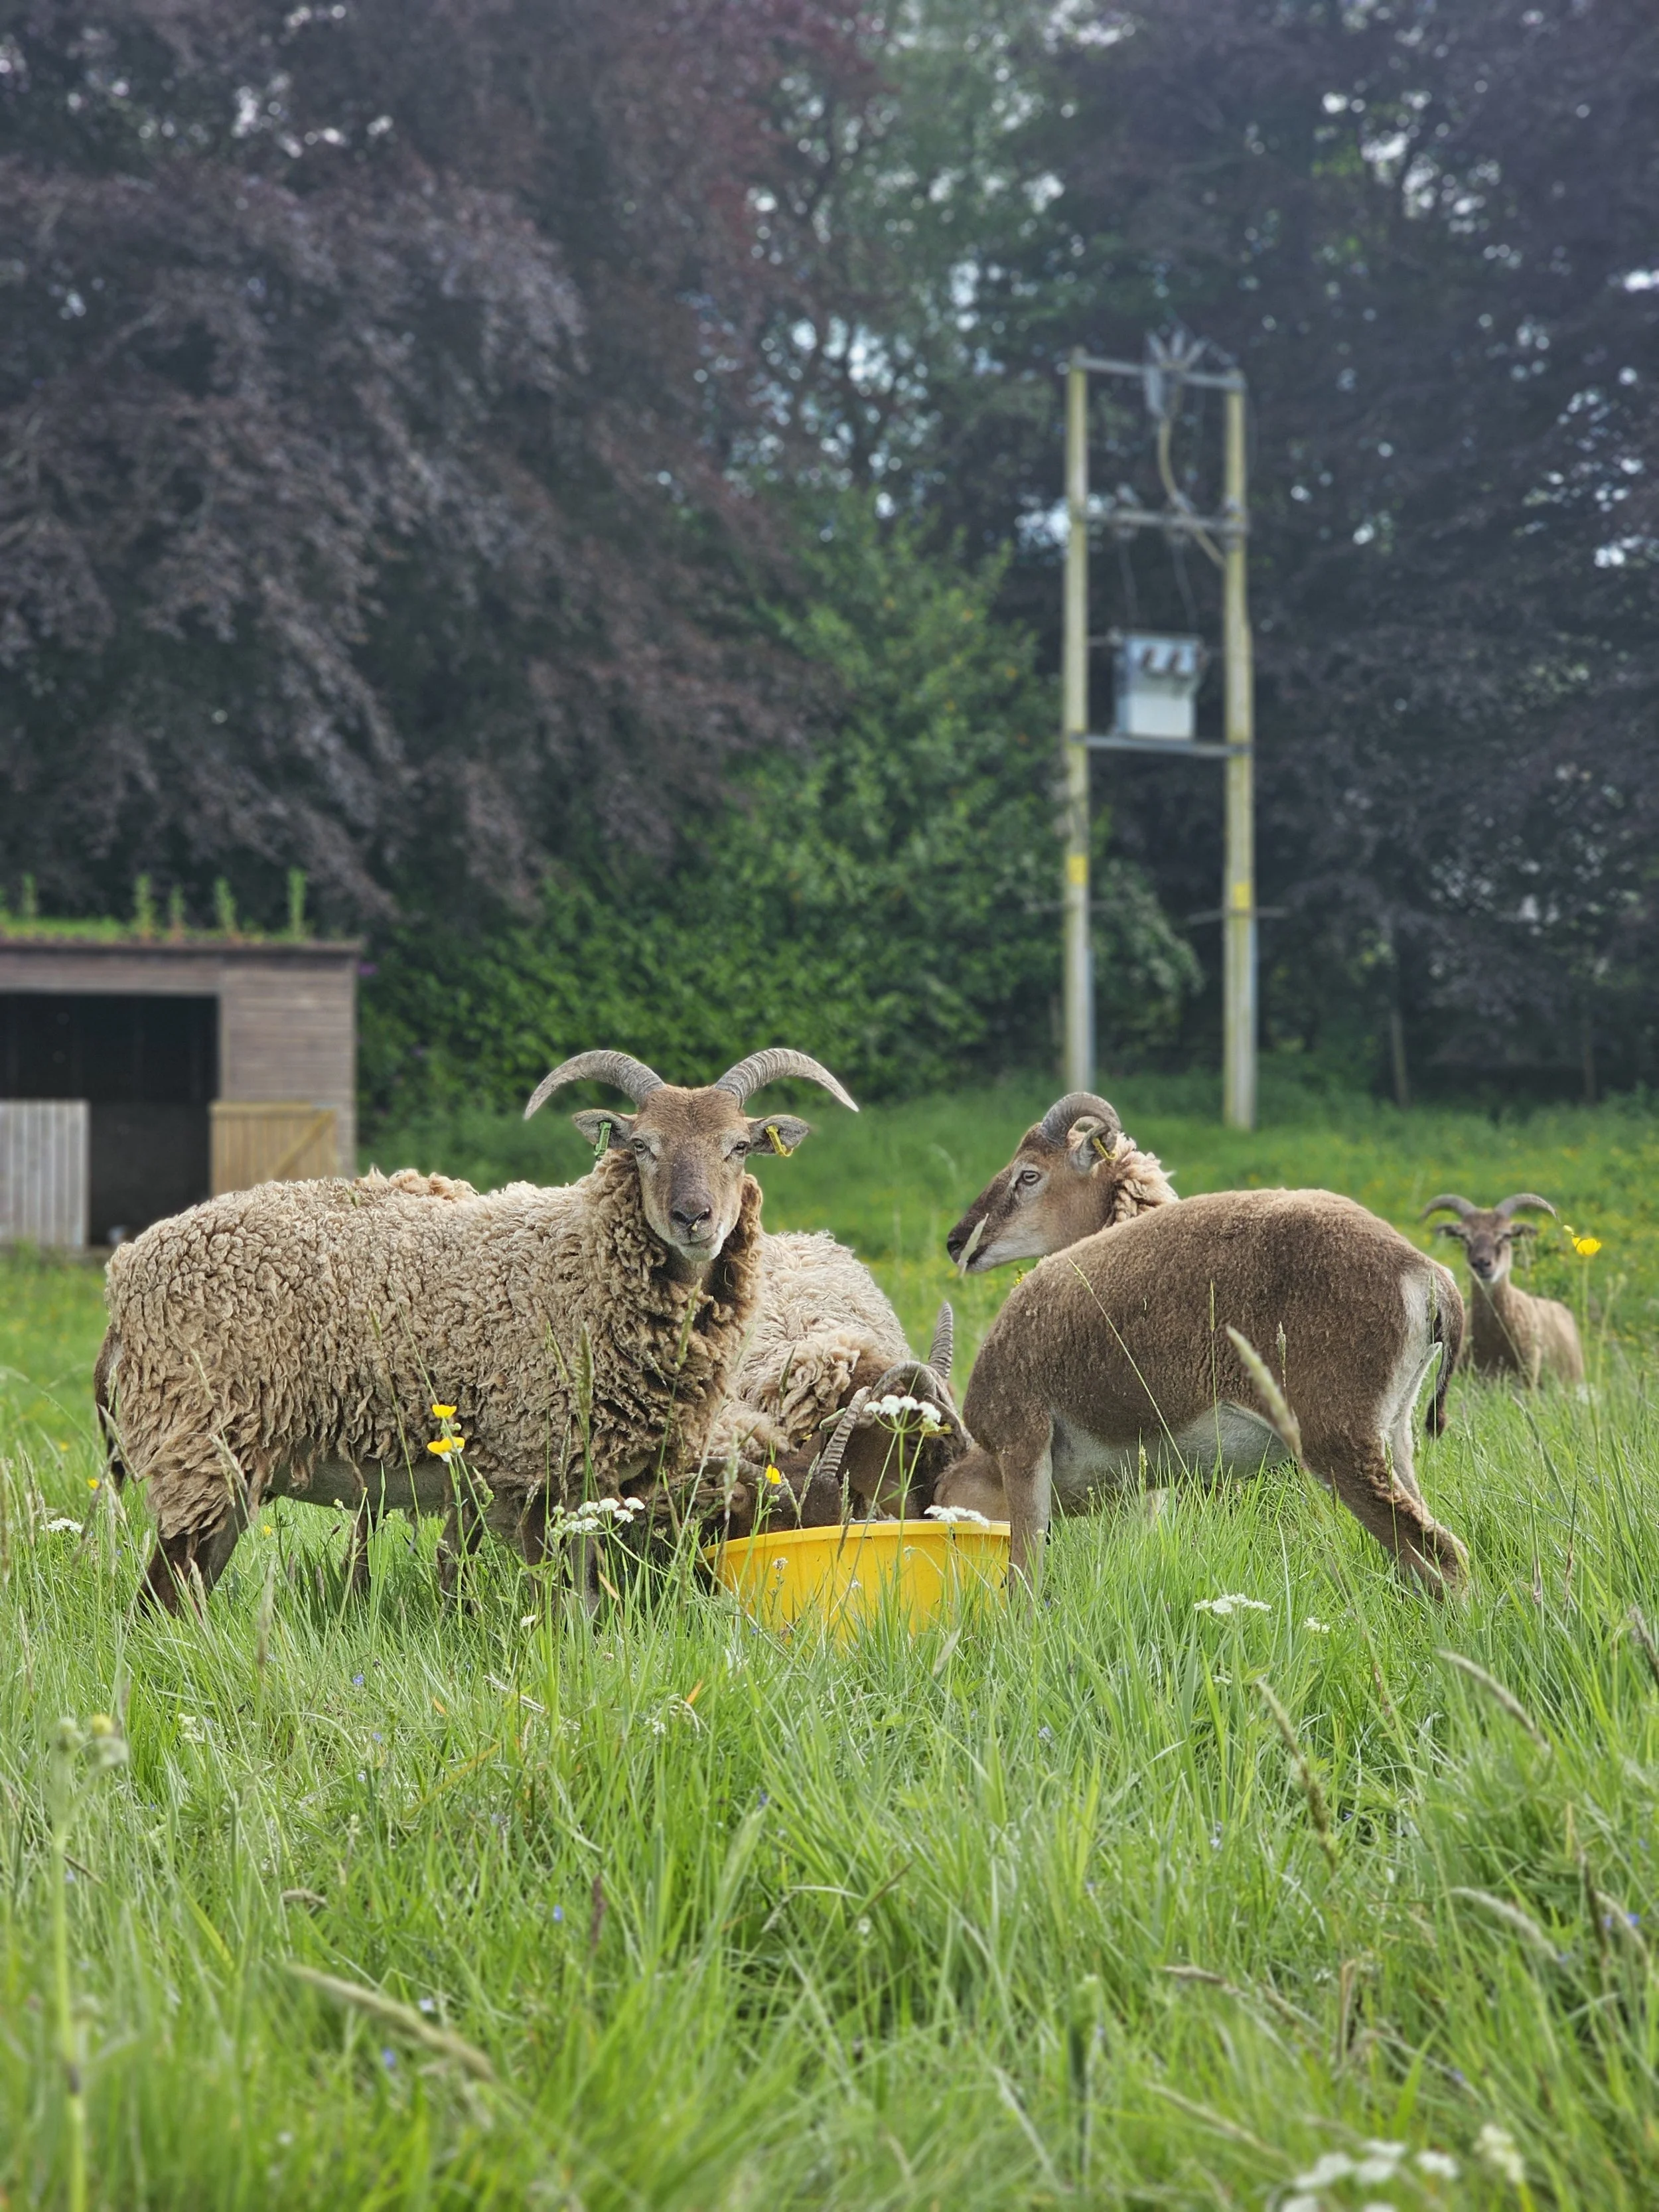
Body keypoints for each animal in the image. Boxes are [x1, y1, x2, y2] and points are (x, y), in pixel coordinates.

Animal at [98, 1047, 855, 1611]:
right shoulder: (538, 1465)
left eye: (740, 1145)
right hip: (196, 1447)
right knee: (159, 1600)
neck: (575, 1256)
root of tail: (124, 1274)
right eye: (642, 1145)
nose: (693, 1218)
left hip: (229, 1468)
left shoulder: (598, 1477)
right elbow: (566, 1599)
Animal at [934, 1187, 1468, 1595]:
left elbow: (1025, 1583)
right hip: (1393, 1439)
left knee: (1444, 1555)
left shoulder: (1022, 1448)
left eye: (941, 1500)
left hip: (1340, 1449)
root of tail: (1426, 1274)